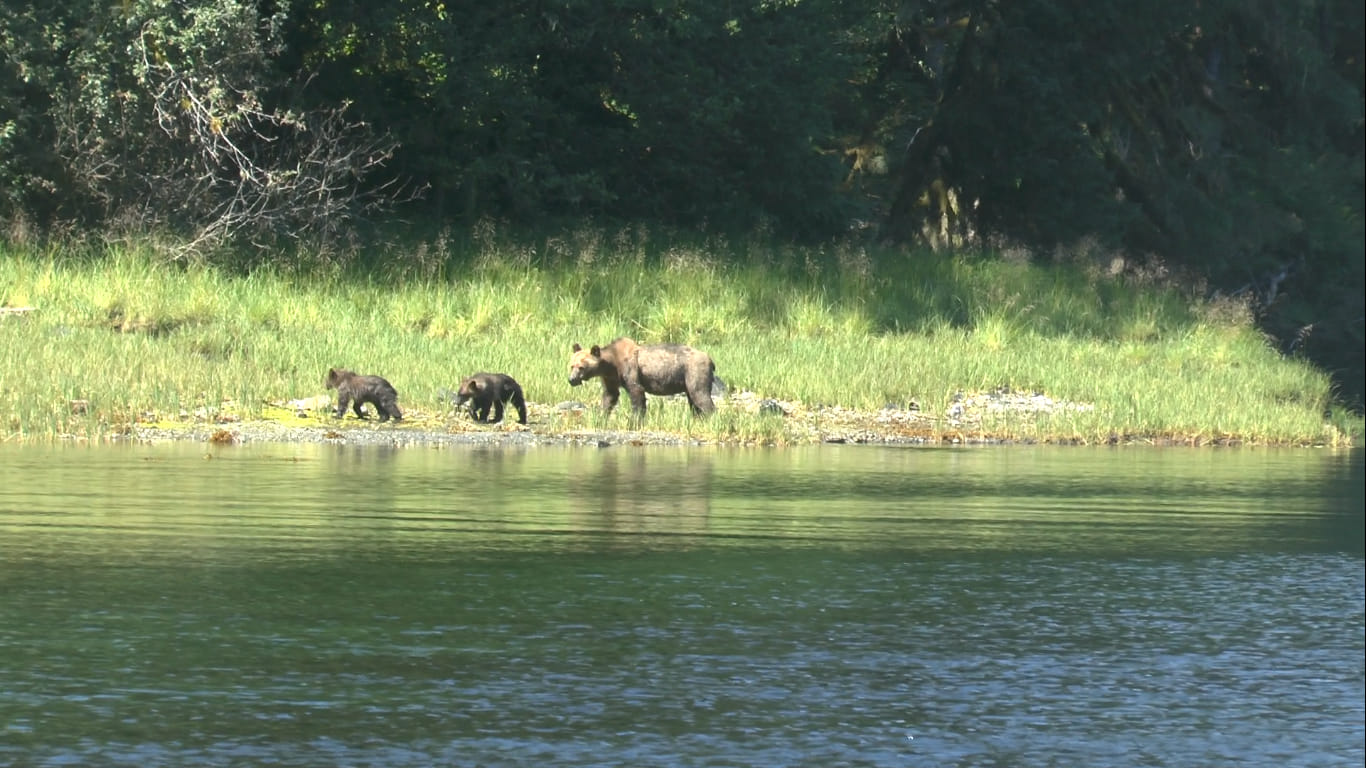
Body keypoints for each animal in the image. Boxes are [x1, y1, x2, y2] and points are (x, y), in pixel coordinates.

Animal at [567, 337, 716, 417]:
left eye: (581, 367)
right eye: (571, 365)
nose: (571, 380)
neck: (612, 365)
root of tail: (711, 359)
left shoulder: (630, 370)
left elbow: (636, 392)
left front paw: (635, 419)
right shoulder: (611, 378)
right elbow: (610, 396)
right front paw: (601, 416)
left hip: (694, 371)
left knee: (700, 395)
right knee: (694, 402)